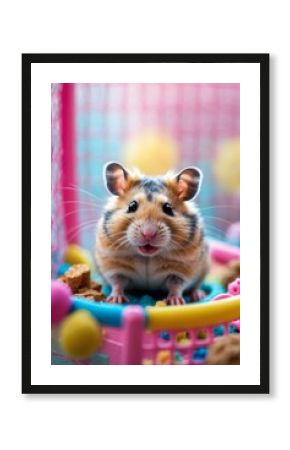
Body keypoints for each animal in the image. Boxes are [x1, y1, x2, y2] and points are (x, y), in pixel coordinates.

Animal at [96, 162, 210, 306]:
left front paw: (176, 302)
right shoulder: (113, 265)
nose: (148, 234)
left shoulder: (182, 269)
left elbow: (176, 286)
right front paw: (115, 300)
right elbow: (117, 283)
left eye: (168, 208)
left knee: (196, 286)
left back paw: (198, 295)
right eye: (132, 206)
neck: (147, 257)